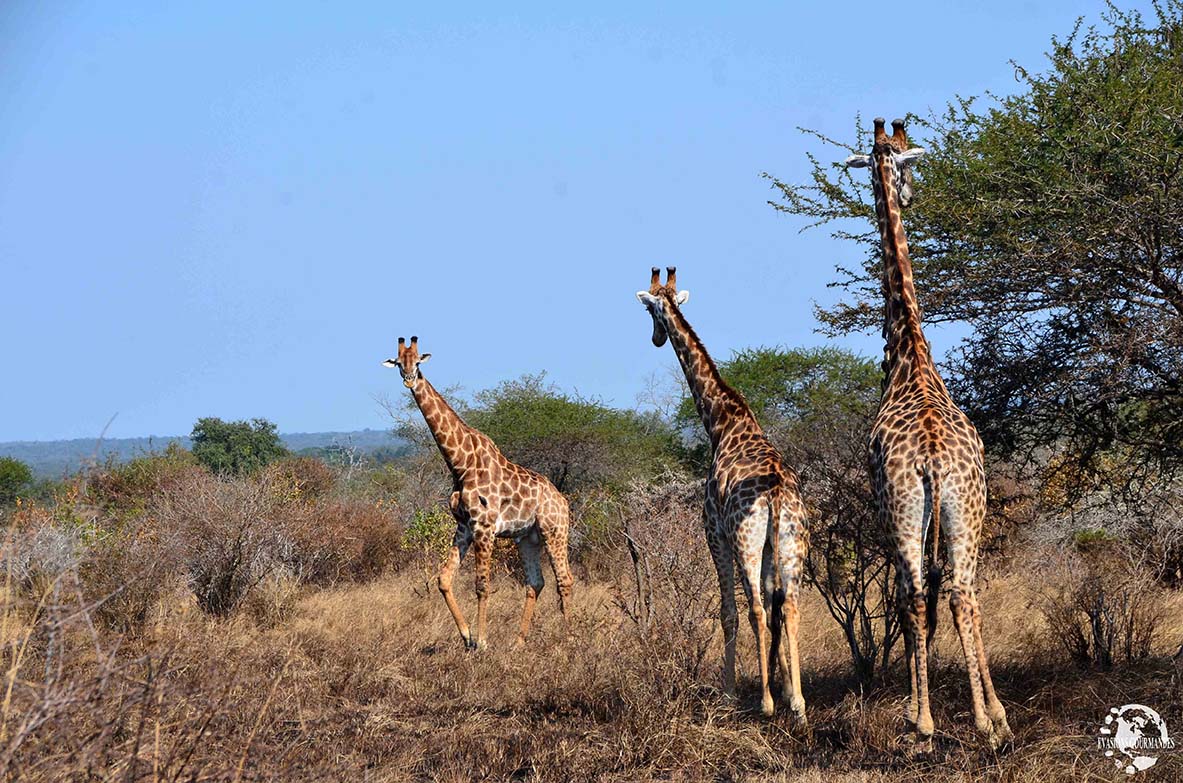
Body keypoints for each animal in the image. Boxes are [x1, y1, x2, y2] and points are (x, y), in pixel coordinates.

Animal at [383, 338, 572, 648]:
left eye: (418, 362)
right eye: (399, 363)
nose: (409, 379)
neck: (460, 463)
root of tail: (563, 500)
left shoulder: (484, 526)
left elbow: (482, 585)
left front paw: (482, 641)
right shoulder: (464, 526)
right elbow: (444, 579)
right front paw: (467, 635)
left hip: (554, 530)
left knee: (564, 580)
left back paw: (570, 637)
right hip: (527, 538)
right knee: (536, 582)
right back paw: (518, 642)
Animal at [634, 268, 809, 723]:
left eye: (648, 310)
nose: (655, 339)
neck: (721, 422)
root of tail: (778, 494)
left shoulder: (714, 533)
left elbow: (728, 612)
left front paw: (730, 692)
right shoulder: (767, 547)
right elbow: (777, 610)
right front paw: (786, 689)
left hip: (746, 541)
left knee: (756, 610)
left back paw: (764, 703)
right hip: (791, 543)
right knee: (790, 607)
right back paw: (799, 705)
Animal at [847, 119, 1012, 752]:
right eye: (908, 162)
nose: (914, 193)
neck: (910, 352)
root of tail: (935, 461)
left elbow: (911, 600)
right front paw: (989, 710)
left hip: (918, 511)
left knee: (926, 594)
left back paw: (933, 719)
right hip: (952, 510)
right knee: (956, 592)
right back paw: (978, 721)